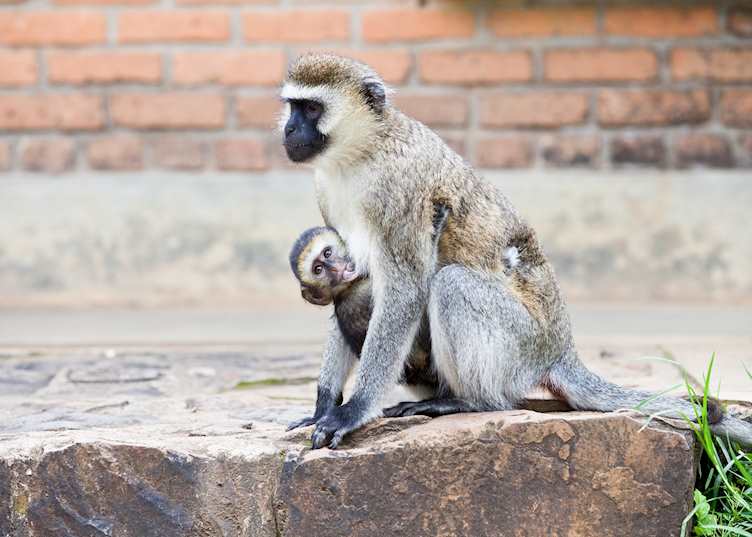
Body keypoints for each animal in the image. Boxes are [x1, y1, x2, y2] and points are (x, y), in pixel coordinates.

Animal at [280, 53, 751, 449]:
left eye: (312, 110)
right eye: (292, 107)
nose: (287, 129)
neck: (361, 154)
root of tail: (559, 349)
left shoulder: (398, 190)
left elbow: (404, 290)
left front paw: (354, 410)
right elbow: (351, 287)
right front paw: (323, 406)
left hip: (520, 345)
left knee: (450, 286)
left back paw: (470, 401)